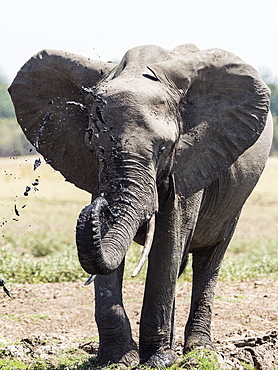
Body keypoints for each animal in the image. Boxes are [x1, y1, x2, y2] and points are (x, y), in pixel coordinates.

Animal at [8, 43, 272, 368]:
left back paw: (199, 350)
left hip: (235, 200)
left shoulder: (191, 161)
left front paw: (158, 360)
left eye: (163, 149)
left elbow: (168, 243)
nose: (97, 207)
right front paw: (117, 360)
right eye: (95, 147)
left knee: (209, 258)